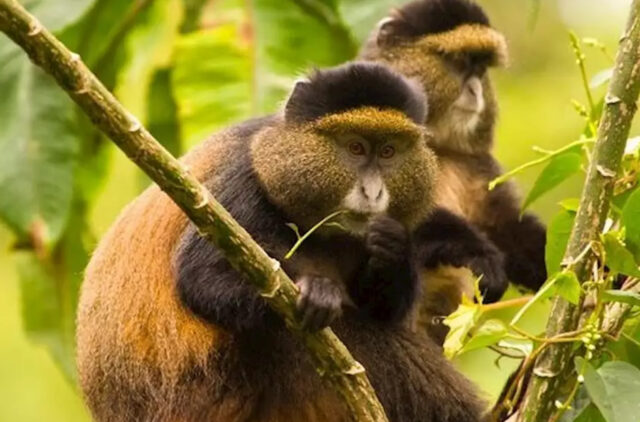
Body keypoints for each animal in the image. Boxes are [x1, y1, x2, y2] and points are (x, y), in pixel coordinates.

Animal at [76, 61, 500, 422]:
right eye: (355, 147)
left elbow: (384, 305)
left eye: (388, 151)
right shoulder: (241, 183)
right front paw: (318, 294)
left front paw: (394, 249)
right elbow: (202, 277)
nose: (373, 192)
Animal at [358, 0, 547, 339]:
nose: (475, 91)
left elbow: (507, 225)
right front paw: (479, 254)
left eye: (481, 69)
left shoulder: (477, 165)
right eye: (459, 62)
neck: (437, 145)